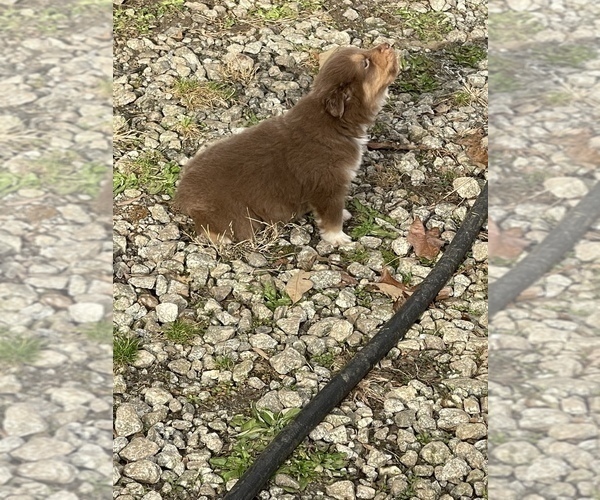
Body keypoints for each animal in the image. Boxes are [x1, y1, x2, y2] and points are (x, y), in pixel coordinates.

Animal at [173, 42, 398, 245]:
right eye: (366, 63)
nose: (388, 44)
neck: (335, 122)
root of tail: (182, 194)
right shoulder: (328, 184)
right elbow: (331, 216)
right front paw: (339, 238)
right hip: (235, 215)